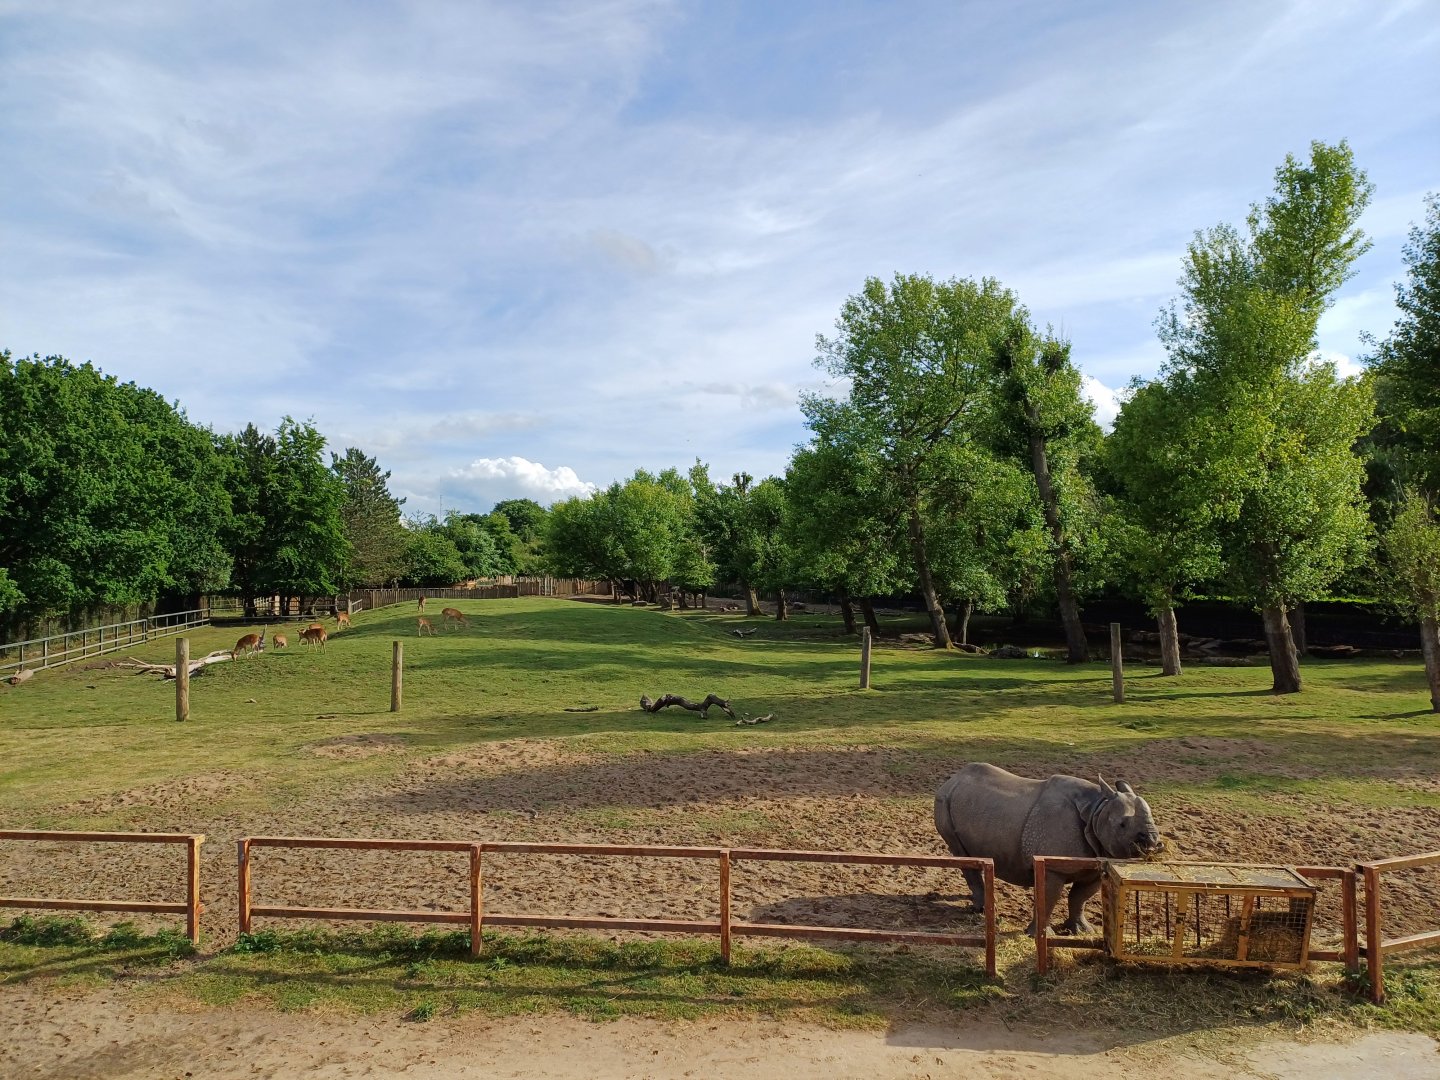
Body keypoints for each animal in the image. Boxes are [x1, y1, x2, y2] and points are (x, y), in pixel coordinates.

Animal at [934, 762, 1164, 934]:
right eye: (1122, 825)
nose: (1153, 842)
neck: (1095, 809)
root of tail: (952, 779)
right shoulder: (1051, 867)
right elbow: (1048, 899)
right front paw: (1040, 935)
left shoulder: (1098, 862)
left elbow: (1079, 898)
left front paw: (1082, 931)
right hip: (943, 800)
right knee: (961, 853)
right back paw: (982, 909)